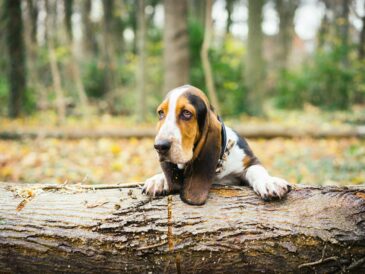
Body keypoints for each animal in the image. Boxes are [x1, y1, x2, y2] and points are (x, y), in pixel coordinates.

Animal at [142, 84, 290, 204]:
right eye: (161, 113)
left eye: (186, 113)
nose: (159, 146)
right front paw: (159, 180)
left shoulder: (250, 160)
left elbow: (256, 170)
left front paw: (268, 182)